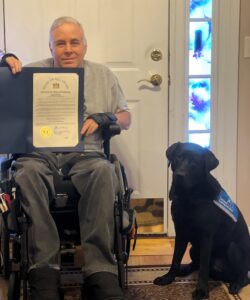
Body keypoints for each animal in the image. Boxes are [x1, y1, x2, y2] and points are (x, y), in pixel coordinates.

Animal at [153, 143, 250, 300]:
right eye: (178, 157)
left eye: (195, 163)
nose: (179, 175)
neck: (189, 197)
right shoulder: (181, 232)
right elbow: (175, 259)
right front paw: (167, 278)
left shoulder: (206, 236)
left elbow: (203, 268)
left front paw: (202, 291)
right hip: (193, 248)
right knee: (195, 264)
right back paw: (184, 269)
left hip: (233, 248)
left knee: (242, 276)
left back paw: (235, 284)